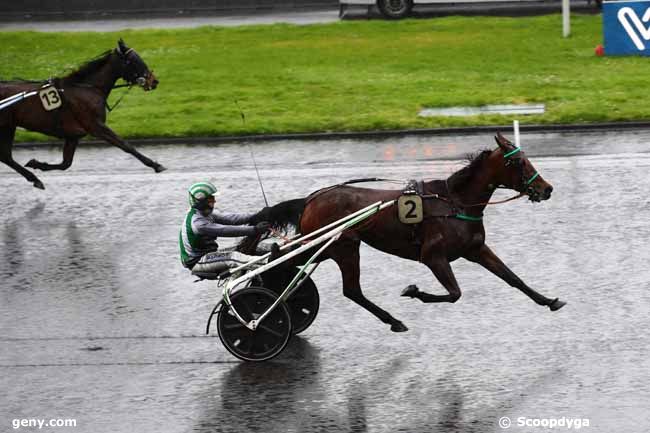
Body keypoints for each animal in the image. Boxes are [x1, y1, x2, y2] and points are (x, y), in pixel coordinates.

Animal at [0, 39, 165, 189]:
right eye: (133, 60)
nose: (154, 81)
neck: (87, 88)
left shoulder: (73, 136)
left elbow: (65, 164)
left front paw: (37, 164)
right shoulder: (95, 126)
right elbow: (126, 145)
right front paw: (155, 164)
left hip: (9, 126)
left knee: (6, 156)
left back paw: (34, 178)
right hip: (6, 126)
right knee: (5, 156)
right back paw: (34, 178)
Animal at [243, 133, 560, 332]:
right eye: (518, 161)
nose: (547, 189)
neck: (455, 202)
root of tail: (311, 198)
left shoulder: (475, 249)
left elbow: (512, 278)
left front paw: (549, 300)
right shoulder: (433, 256)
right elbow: (454, 293)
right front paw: (414, 291)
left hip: (326, 246)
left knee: (286, 262)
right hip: (343, 246)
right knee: (347, 288)